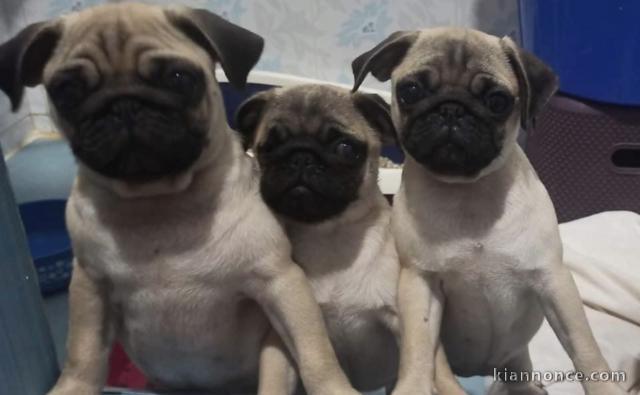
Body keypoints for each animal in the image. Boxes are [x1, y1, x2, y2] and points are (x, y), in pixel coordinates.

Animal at [0, 3, 360, 395]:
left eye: (179, 78)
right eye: (67, 90)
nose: (124, 104)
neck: (160, 203)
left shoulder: (280, 282)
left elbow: (315, 352)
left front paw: (334, 388)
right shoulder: (89, 287)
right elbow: (82, 354)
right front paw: (72, 387)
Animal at [350, 28, 624, 395]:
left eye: (497, 101)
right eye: (410, 91)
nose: (451, 109)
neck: (469, 192)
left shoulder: (553, 280)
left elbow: (584, 347)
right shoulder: (420, 284)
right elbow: (418, 348)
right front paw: (414, 387)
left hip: (515, 358)